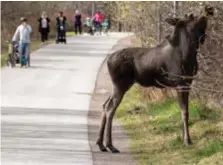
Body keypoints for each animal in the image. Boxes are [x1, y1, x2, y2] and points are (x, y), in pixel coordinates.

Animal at [96, 5, 215, 153]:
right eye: (191, 16)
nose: (207, 10)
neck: (189, 54)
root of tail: (108, 60)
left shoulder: (188, 83)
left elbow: (184, 110)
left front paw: (183, 138)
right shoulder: (180, 83)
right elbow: (184, 112)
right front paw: (187, 140)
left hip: (118, 86)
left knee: (104, 105)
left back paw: (101, 144)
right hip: (120, 85)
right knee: (110, 108)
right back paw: (110, 145)